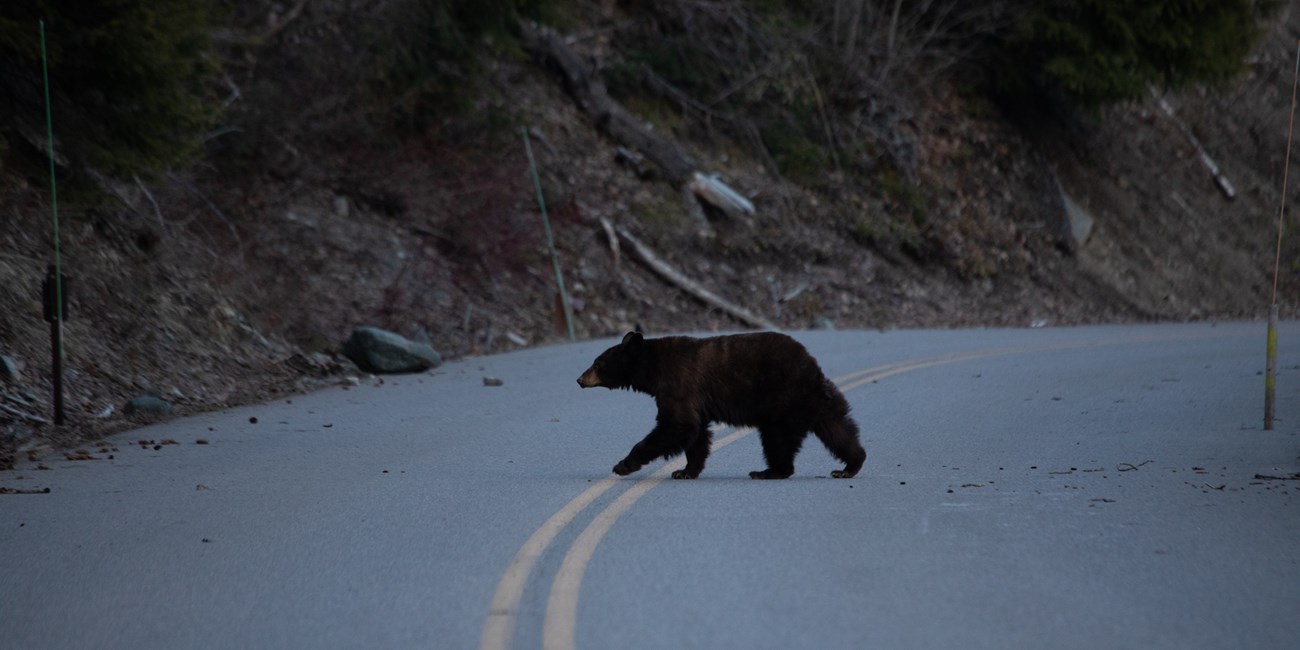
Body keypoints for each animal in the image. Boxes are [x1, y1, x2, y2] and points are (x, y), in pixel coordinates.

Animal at [577, 332, 863, 480]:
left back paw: (769, 471)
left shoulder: (678, 384)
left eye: (598, 363)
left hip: (781, 398)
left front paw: (623, 465)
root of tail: (812, 369)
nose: (580, 379)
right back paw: (850, 465)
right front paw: (686, 471)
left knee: (777, 438)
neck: (653, 368)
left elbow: (677, 426)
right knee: (838, 429)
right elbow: (696, 433)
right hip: (819, 401)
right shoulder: (694, 400)